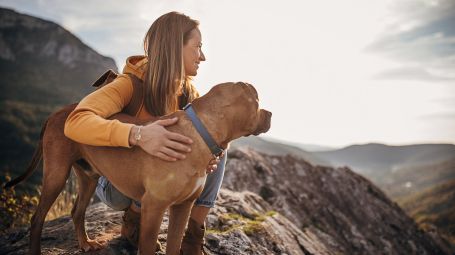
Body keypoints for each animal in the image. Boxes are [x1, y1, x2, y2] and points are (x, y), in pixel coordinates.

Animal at [5, 82, 270, 255]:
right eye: (257, 102)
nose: (270, 113)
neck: (201, 131)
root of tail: (56, 113)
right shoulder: (154, 206)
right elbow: (148, 245)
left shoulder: (183, 207)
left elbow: (174, 243)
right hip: (56, 174)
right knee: (37, 218)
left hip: (89, 177)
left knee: (77, 212)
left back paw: (86, 243)